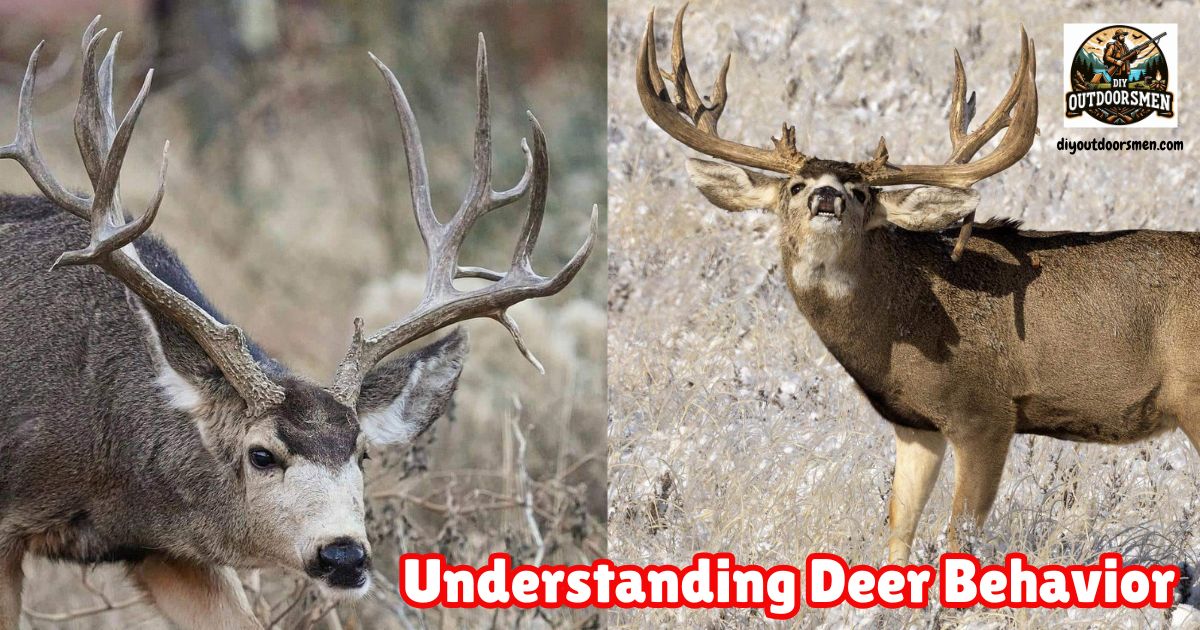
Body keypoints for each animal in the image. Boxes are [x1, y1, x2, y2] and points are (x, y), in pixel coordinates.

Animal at [637, 6, 1200, 565]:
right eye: (795, 186)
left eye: (861, 191)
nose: (826, 195)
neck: (900, 331)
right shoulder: (914, 425)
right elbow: (898, 529)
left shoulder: (986, 414)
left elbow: (960, 537)